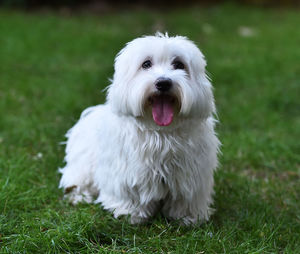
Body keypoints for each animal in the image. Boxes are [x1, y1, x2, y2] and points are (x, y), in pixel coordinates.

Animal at [59, 32, 220, 224]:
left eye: (179, 64)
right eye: (146, 64)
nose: (163, 83)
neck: (160, 133)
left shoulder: (191, 175)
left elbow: (186, 198)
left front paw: (188, 217)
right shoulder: (127, 173)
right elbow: (130, 195)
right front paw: (130, 213)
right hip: (83, 167)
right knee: (77, 182)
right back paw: (79, 197)